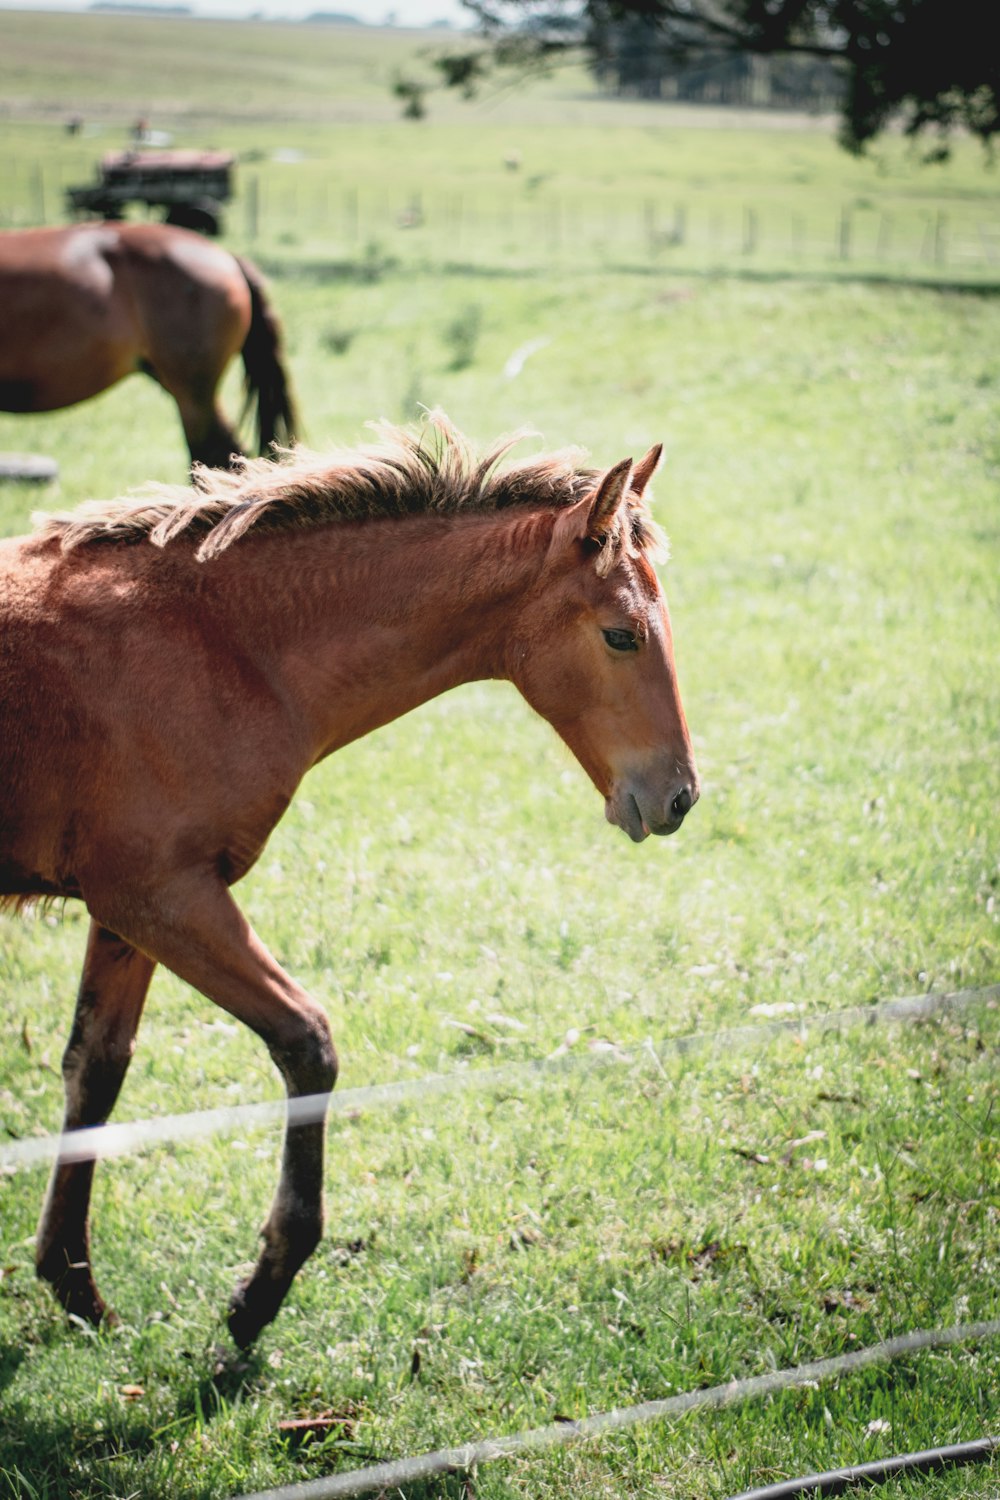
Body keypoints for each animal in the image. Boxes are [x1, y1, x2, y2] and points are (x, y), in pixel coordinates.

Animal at [0, 411, 701, 1350]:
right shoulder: (165, 897)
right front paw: (260, 1292)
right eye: (622, 634)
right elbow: (308, 1043)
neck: (220, 642)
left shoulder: (124, 909)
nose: (679, 796)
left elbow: (95, 1069)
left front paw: (76, 1286)